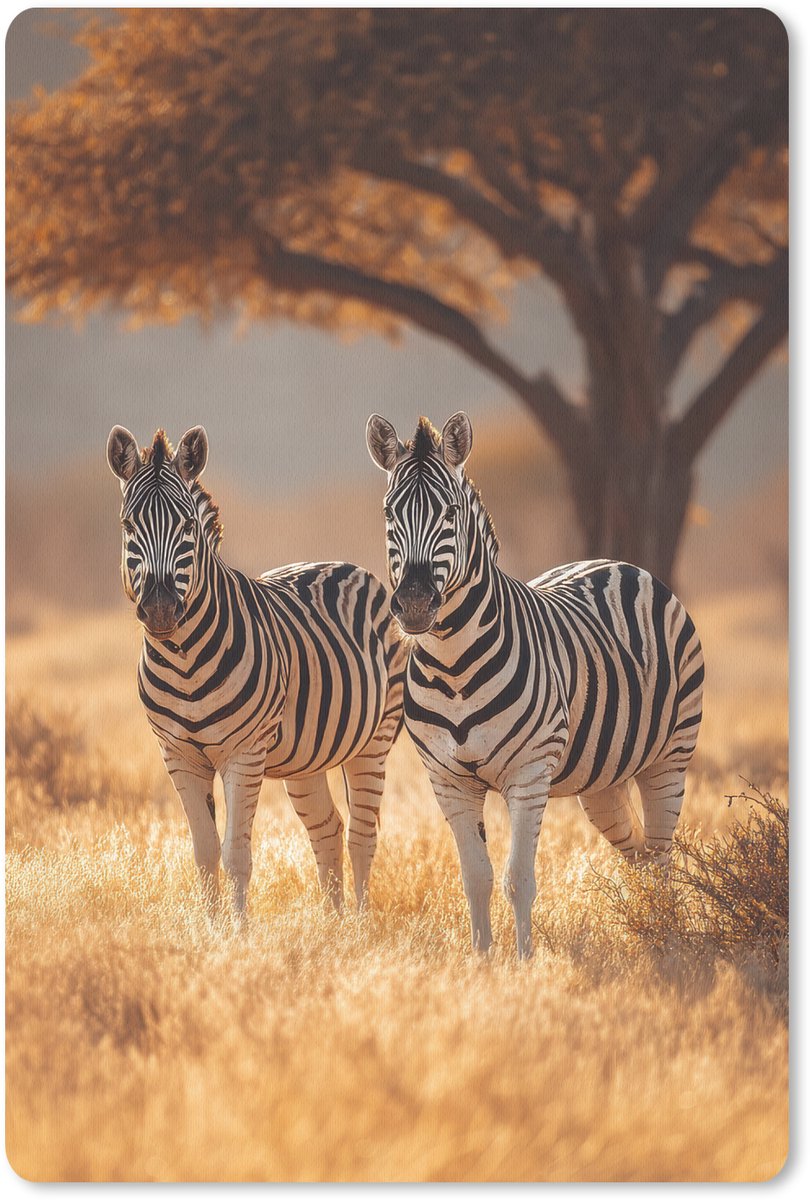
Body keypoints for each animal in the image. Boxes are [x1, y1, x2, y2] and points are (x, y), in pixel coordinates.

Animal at [107, 425, 406, 916]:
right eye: (128, 526)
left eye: (188, 526)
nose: (161, 609)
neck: (184, 661)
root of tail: (345, 564)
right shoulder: (177, 755)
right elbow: (204, 853)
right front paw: (209, 929)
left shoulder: (243, 754)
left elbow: (236, 855)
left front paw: (239, 931)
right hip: (307, 757)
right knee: (328, 829)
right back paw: (333, 925)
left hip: (374, 740)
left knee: (363, 836)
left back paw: (360, 924)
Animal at [366, 411, 704, 958]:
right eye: (389, 513)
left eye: (450, 513)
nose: (414, 603)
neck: (453, 667)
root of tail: (617, 562)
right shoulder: (448, 781)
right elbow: (476, 878)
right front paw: (482, 961)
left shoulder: (528, 774)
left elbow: (517, 879)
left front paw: (524, 964)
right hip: (602, 779)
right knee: (636, 852)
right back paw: (646, 928)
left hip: (670, 756)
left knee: (659, 854)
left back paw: (668, 936)